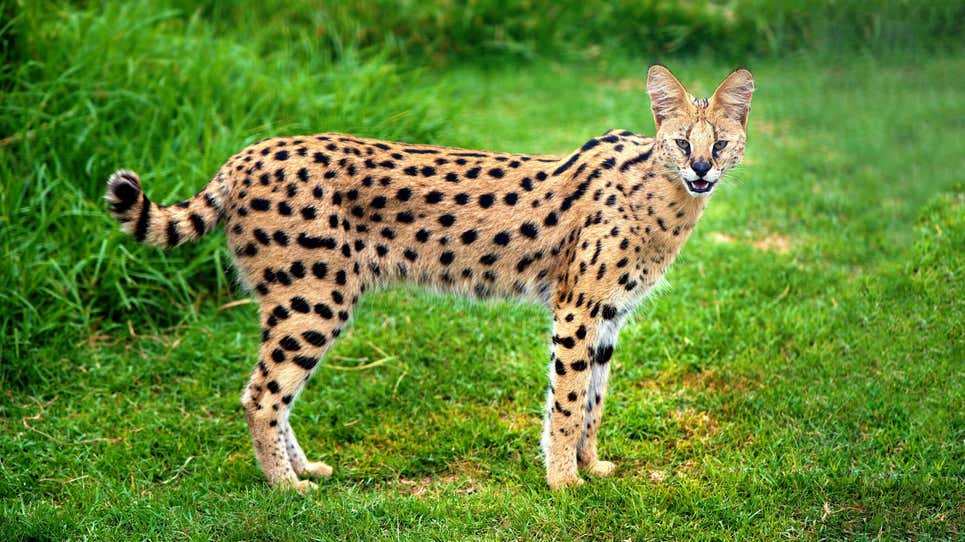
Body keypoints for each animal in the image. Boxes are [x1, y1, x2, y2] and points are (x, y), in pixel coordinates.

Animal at [107, 66, 752, 490]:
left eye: (721, 143)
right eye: (681, 142)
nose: (702, 169)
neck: (665, 197)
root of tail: (245, 154)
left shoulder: (609, 316)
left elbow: (594, 400)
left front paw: (591, 467)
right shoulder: (577, 309)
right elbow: (567, 402)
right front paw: (564, 482)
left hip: (304, 301)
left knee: (274, 392)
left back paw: (304, 468)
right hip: (314, 300)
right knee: (261, 394)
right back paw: (287, 488)